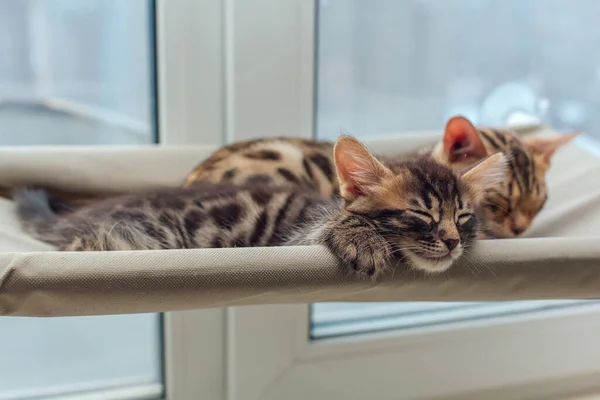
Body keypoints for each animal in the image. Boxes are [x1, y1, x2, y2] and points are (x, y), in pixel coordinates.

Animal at [14, 136, 506, 276]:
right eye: (421, 214)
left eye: (464, 217)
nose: (452, 241)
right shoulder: (297, 236)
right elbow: (338, 227)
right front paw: (362, 239)